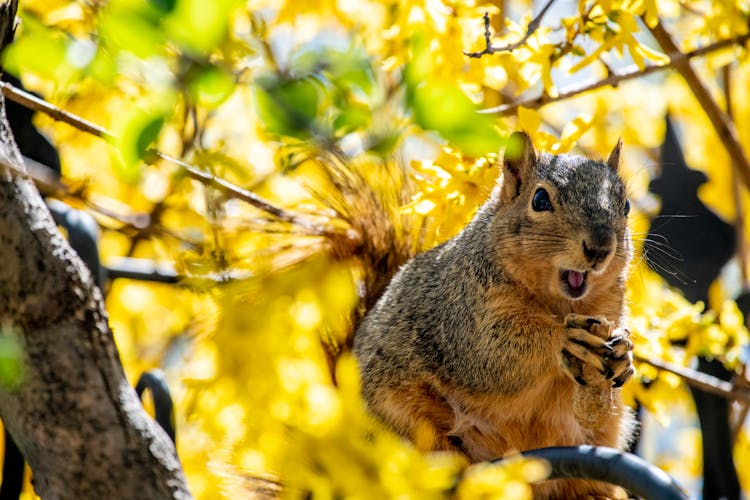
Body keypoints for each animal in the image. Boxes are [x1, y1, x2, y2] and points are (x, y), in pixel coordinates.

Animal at [356, 131, 636, 498]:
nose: (600, 247)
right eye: (540, 199)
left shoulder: (609, 310)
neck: (562, 304)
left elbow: (594, 411)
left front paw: (622, 356)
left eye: (626, 206)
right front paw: (563, 338)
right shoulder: (462, 316)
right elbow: (492, 357)